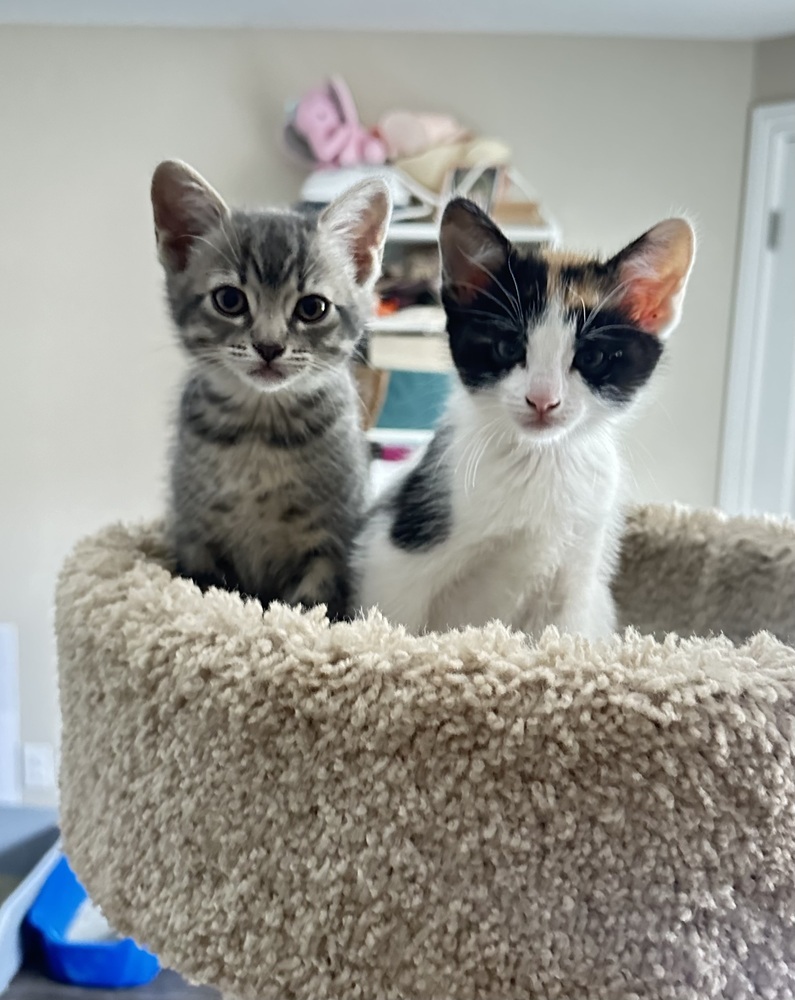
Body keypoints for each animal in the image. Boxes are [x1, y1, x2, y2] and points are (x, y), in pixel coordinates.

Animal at [151, 160, 394, 616]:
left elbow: (308, 607)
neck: (259, 433)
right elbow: (211, 595)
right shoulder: (196, 539)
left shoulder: (331, 543)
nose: (268, 346)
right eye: (229, 300)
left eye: (312, 308)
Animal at [356, 199, 696, 636]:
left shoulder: (578, 578)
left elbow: (568, 637)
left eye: (592, 357)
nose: (543, 400)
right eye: (506, 347)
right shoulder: (392, 554)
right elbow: (392, 621)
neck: (540, 459)